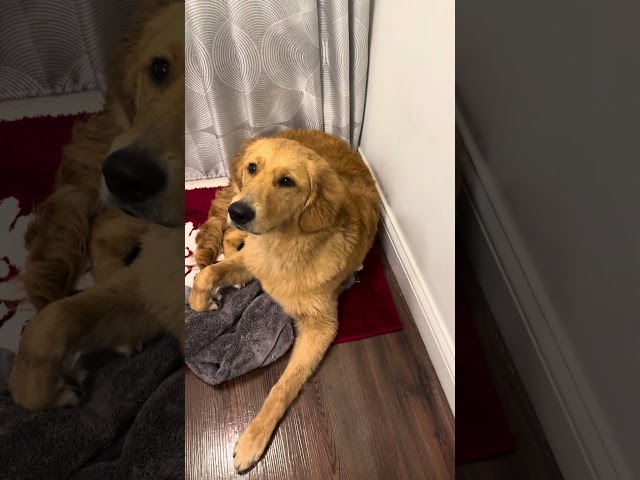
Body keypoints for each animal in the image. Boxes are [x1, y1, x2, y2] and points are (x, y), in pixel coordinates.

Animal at [190, 129, 380, 470]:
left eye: (287, 181)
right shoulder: (252, 260)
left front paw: (253, 439)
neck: (285, 244)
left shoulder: (321, 326)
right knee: (227, 235)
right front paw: (205, 299)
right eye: (253, 168)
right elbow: (205, 276)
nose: (239, 212)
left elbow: (284, 386)